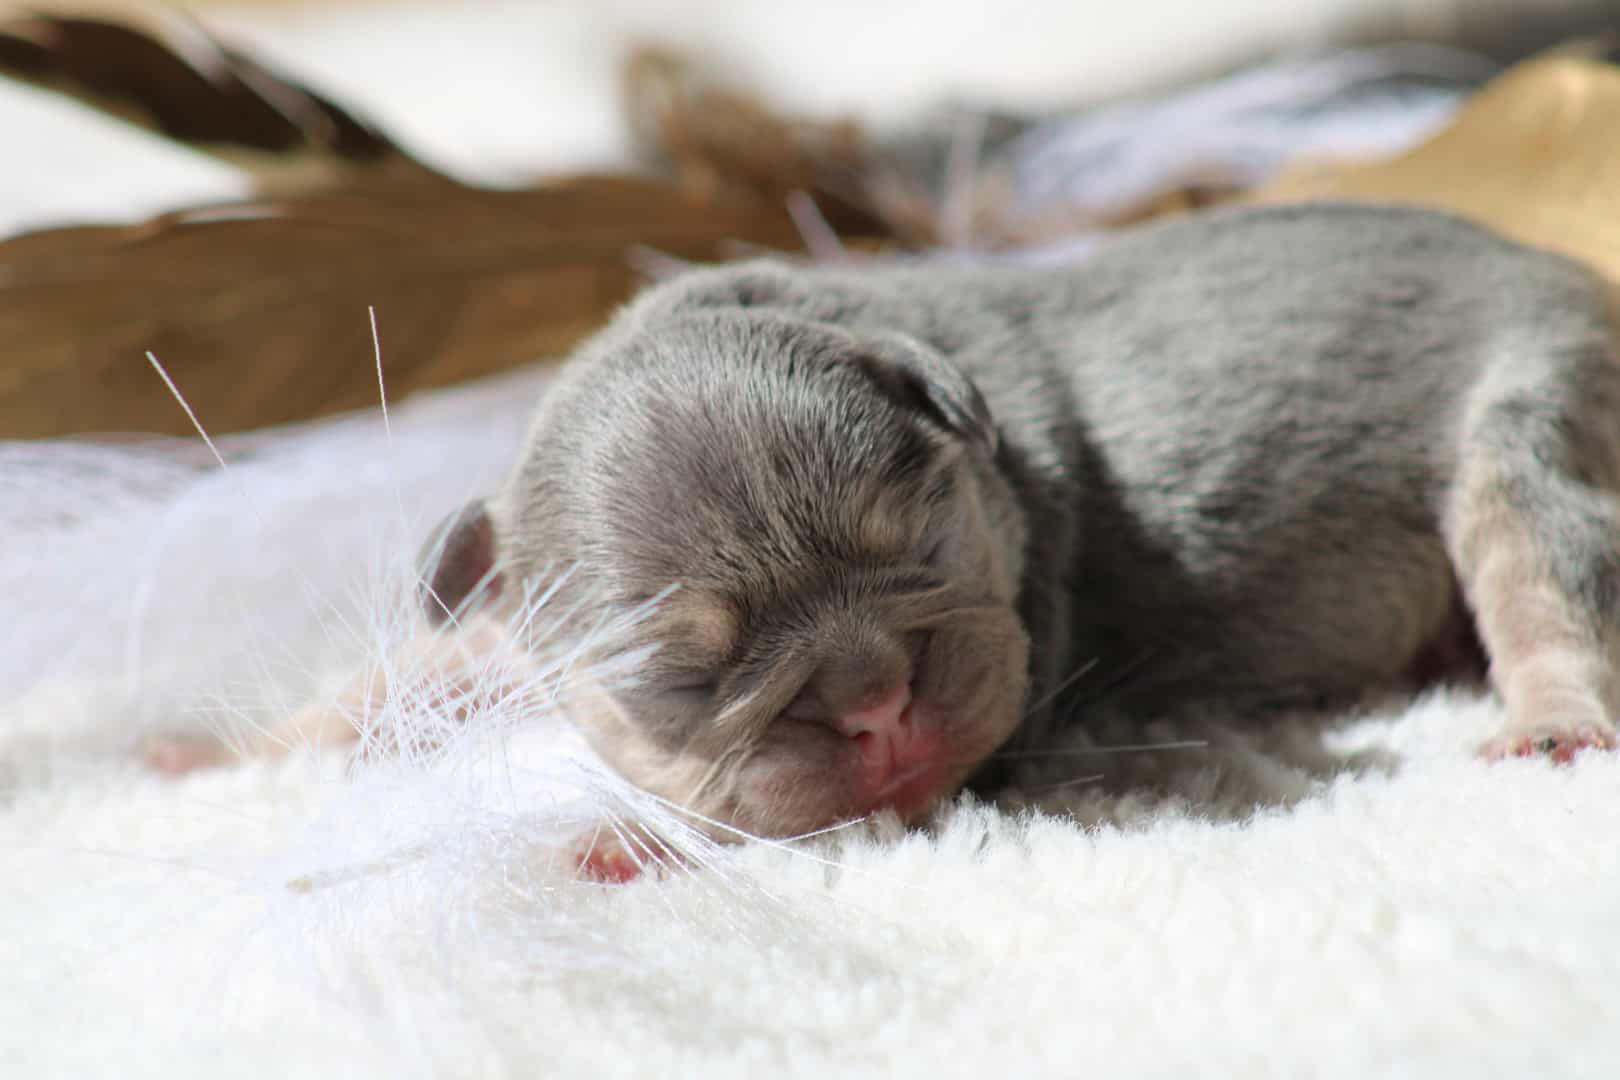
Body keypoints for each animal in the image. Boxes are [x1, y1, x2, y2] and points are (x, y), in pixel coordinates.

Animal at [328, 204, 1620, 841]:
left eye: (925, 547)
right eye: (681, 680)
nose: (875, 705)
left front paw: (603, 847)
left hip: (1534, 415)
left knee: (1550, 582)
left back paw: (1550, 724)